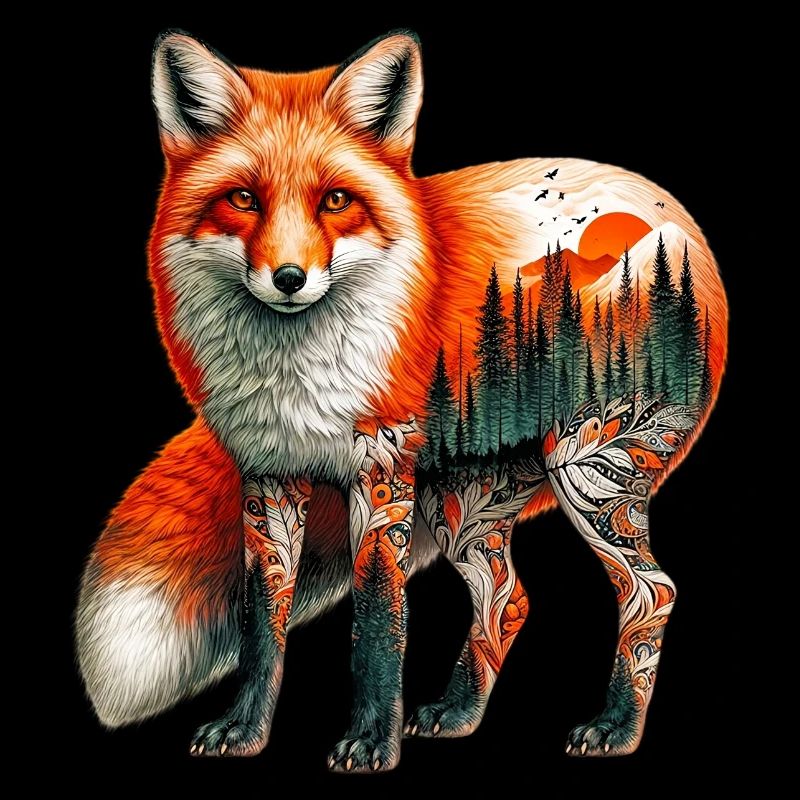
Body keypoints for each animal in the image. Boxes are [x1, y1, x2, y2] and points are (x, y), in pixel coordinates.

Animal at [76, 29, 728, 771]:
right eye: (243, 199)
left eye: (335, 201)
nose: (290, 278)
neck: (294, 377)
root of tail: (675, 218)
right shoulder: (269, 477)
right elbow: (262, 623)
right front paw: (244, 731)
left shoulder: (379, 473)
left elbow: (379, 622)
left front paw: (369, 741)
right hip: (462, 506)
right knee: (509, 600)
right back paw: (459, 712)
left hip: (587, 472)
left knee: (653, 592)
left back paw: (617, 726)